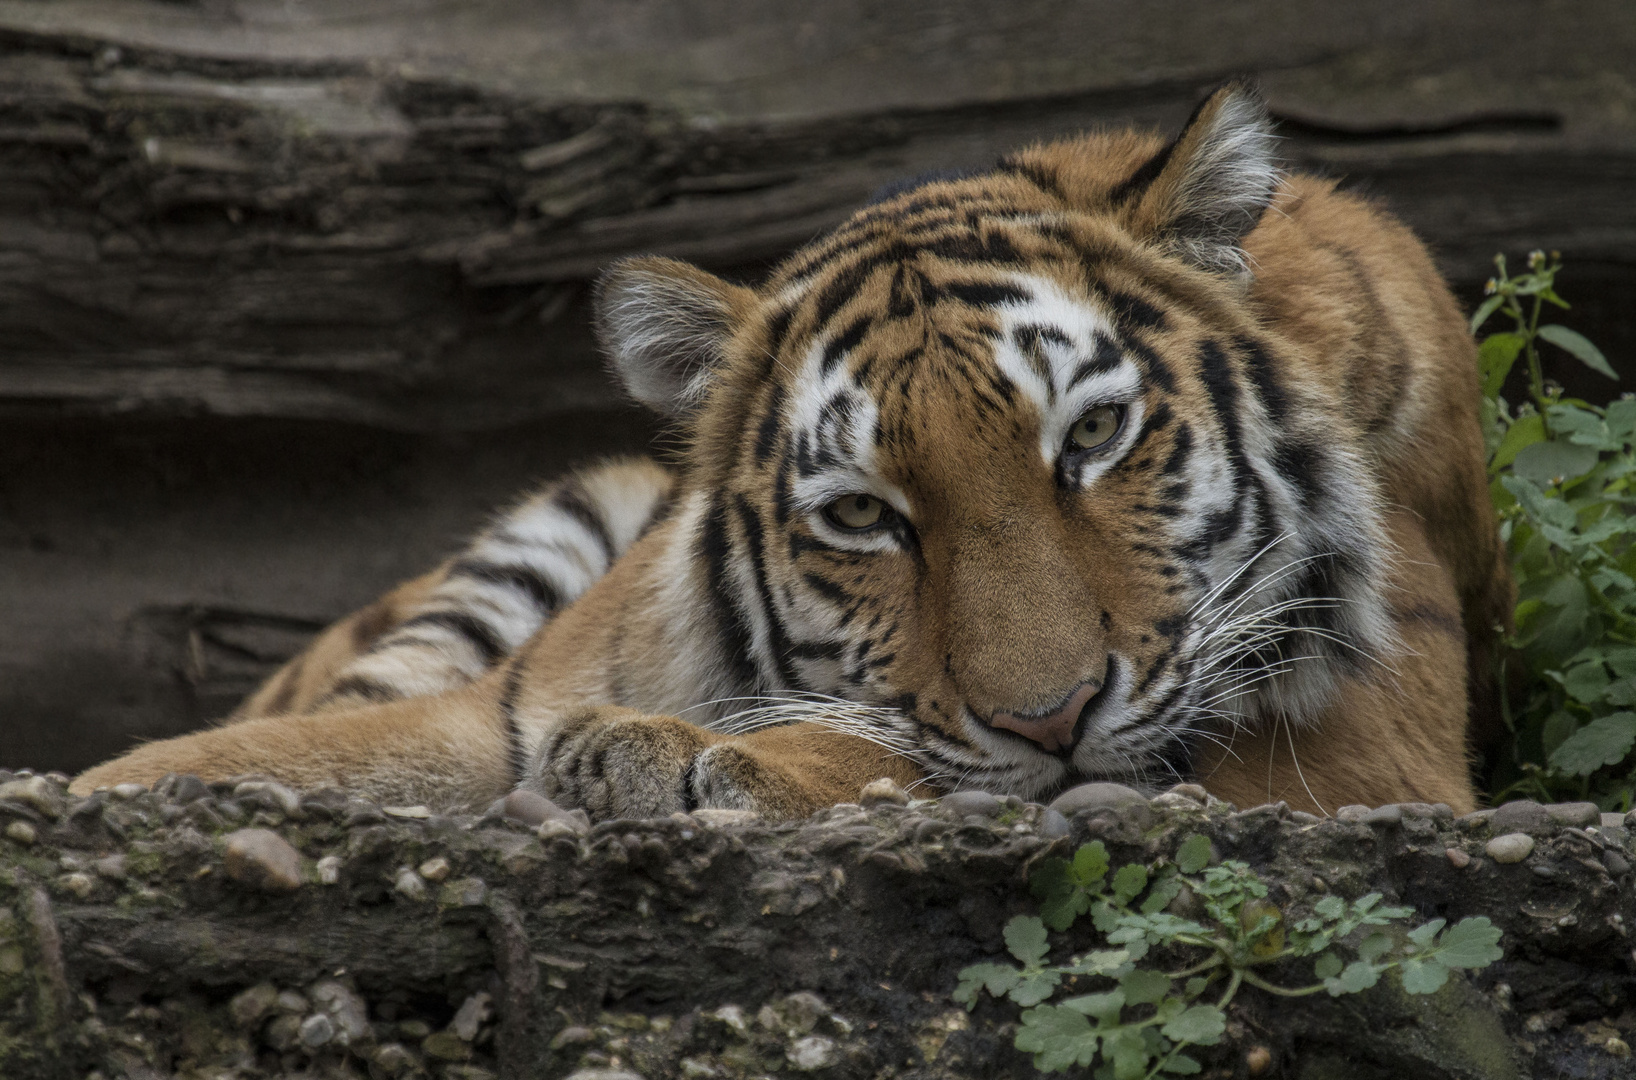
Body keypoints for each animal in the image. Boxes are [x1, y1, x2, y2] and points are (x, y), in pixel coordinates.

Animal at [73, 86, 1505, 818]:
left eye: (1094, 435)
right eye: (864, 516)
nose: (1049, 718)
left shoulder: (1366, 750)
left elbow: (909, 755)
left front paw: (681, 758)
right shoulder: (491, 705)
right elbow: (256, 756)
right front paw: (97, 789)